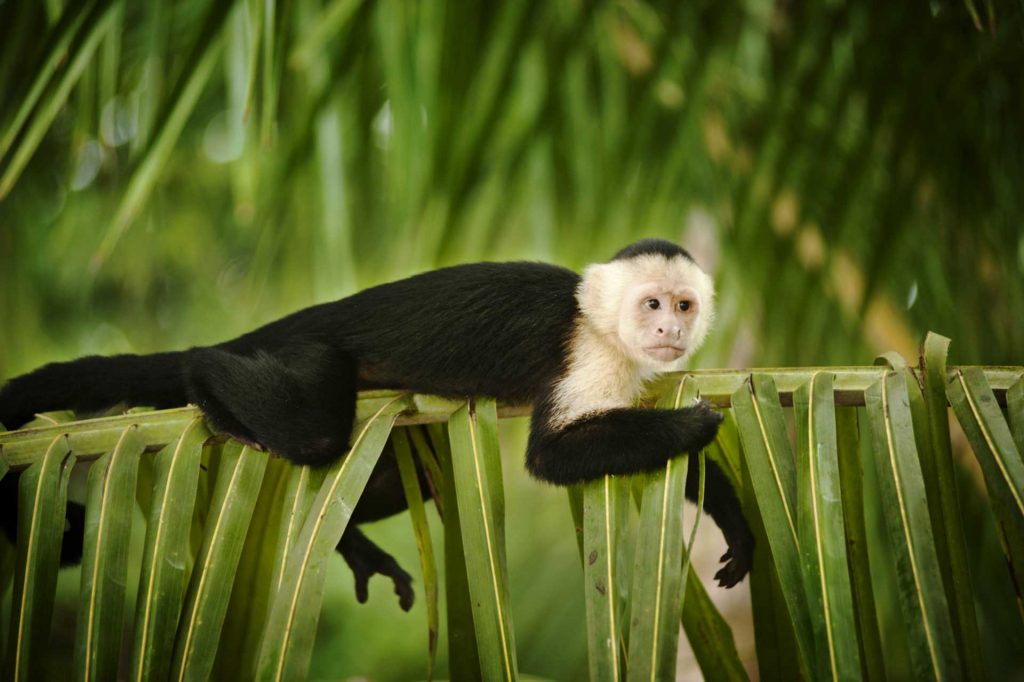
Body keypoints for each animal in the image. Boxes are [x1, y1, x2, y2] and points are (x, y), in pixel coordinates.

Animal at [0, 238, 753, 606]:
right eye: (651, 302)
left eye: (684, 305)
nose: (668, 328)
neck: (598, 323)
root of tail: (306, 318)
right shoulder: (591, 353)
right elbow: (553, 455)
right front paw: (695, 430)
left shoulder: (640, 371)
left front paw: (736, 523)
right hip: (310, 353)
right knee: (312, 430)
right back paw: (203, 375)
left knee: (394, 477)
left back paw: (352, 542)